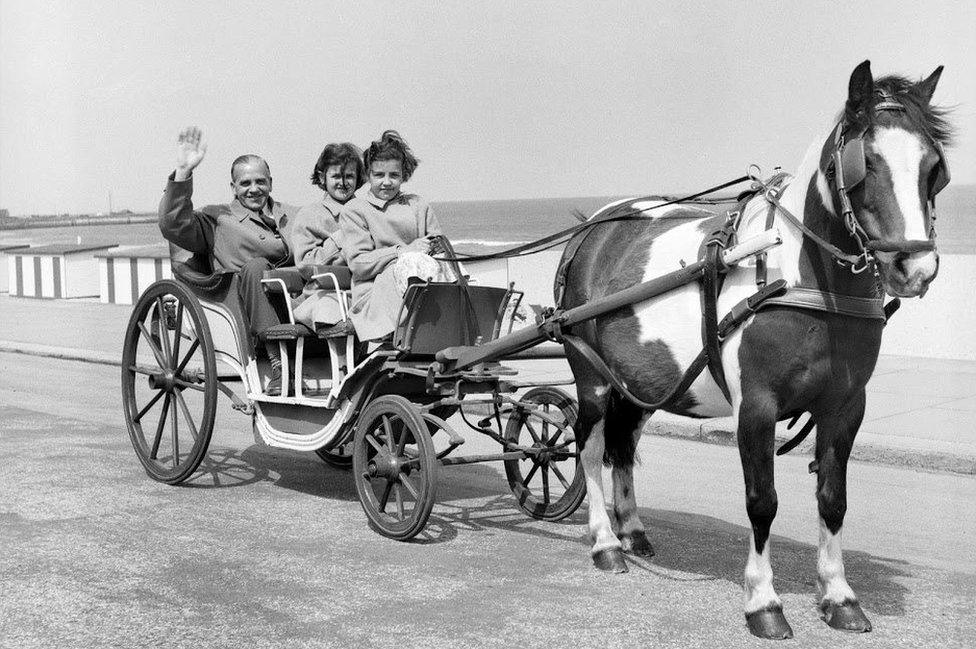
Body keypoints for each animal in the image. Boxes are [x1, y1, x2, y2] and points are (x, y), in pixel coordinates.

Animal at [560, 60, 948, 636]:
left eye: (933, 167)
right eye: (866, 162)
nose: (914, 266)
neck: (799, 277)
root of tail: (591, 228)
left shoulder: (845, 406)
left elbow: (833, 500)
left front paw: (839, 595)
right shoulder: (757, 406)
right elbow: (762, 502)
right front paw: (763, 601)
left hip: (641, 383)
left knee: (623, 446)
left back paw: (632, 531)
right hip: (591, 377)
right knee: (588, 448)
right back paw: (605, 543)